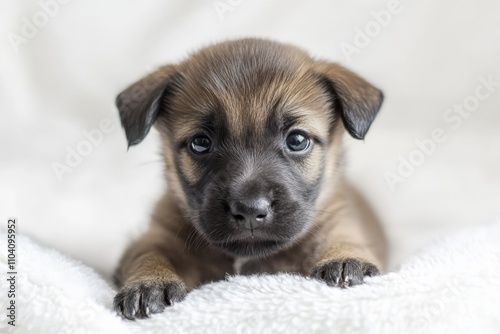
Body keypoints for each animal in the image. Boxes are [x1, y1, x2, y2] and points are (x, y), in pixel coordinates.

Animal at [112, 37, 386, 320]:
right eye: (201, 143)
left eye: (297, 140)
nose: (250, 211)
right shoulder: (158, 236)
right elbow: (149, 253)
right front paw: (149, 282)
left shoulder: (337, 221)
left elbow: (343, 239)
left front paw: (346, 259)